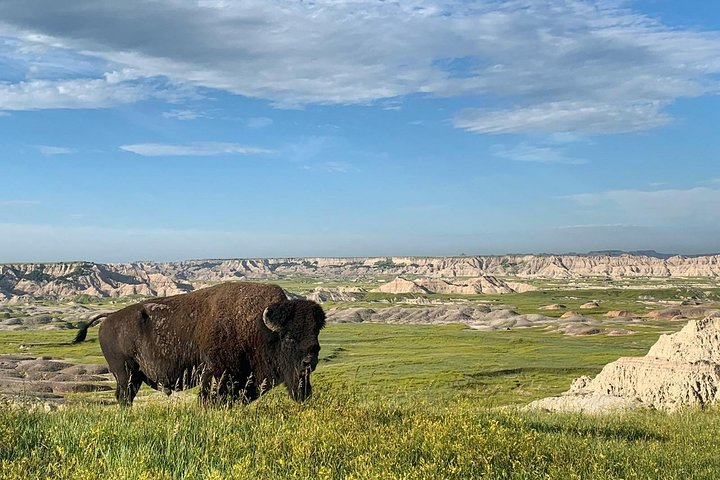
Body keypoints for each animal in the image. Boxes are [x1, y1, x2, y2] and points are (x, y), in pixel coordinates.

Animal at [71, 284, 324, 406]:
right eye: (289, 337)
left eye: (316, 336)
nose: (309, 362)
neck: (260, 328)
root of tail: (108, 318)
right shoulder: (215, 373)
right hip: (126, 373)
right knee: (124, 397)